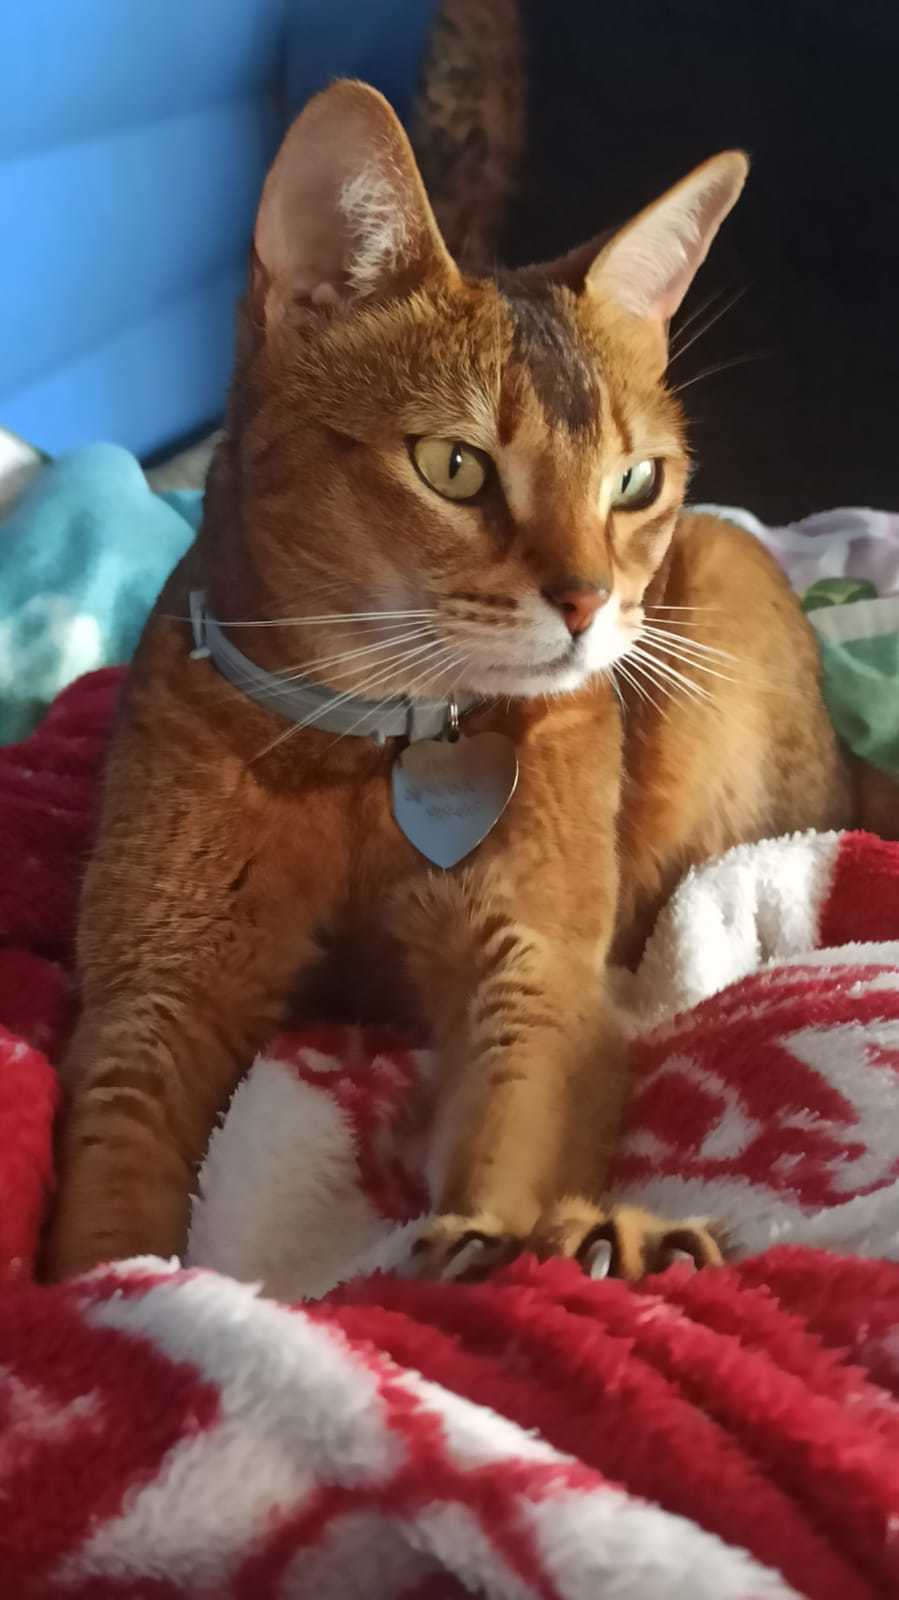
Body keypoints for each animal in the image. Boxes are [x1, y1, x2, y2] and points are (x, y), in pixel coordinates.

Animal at [43, 81, 894, 1284]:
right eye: (453, 467)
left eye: (635, 482)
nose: (587, 603)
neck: (366, 743)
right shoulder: (147, 999)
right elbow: (107, 1232)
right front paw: (122, 1291)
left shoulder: (534, 962)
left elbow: (520, 1110)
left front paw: (521, 1240)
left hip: (724, 580)